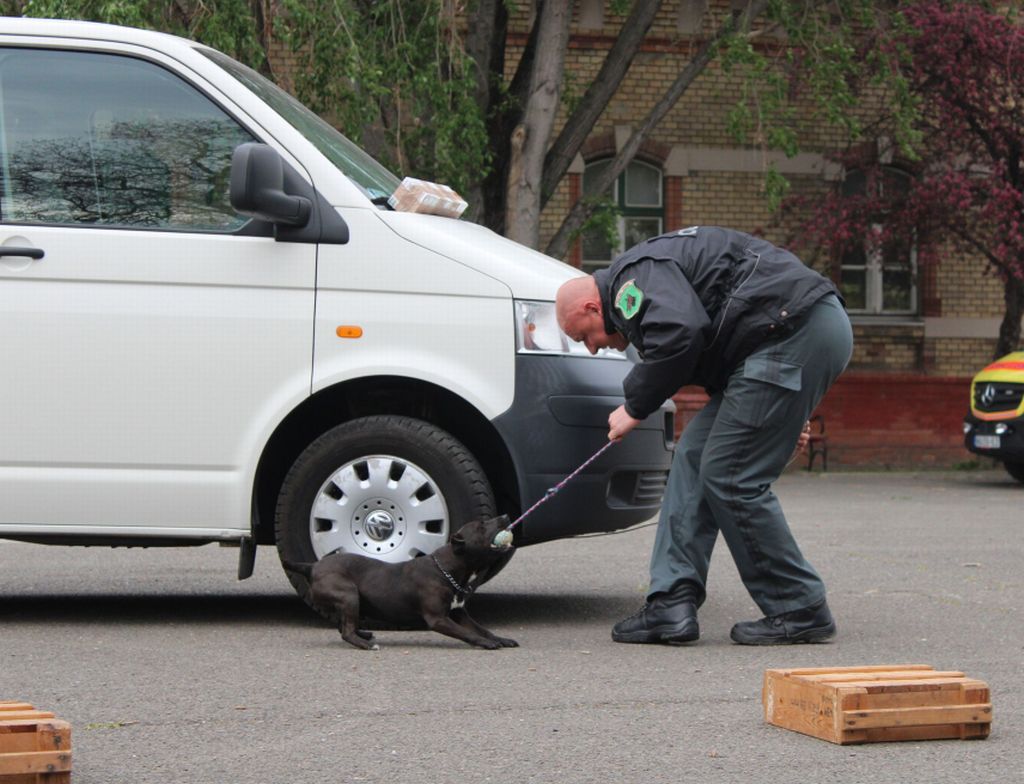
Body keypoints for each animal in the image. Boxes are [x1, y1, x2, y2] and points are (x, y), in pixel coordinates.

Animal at [280, 515, 516, 650]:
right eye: (481, 526)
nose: (505, 515)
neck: (446, 570)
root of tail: (311, 567)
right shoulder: (438, 619)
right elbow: (468, 633)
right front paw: (486, 643)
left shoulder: (459, 613)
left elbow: (481, 628)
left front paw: (501, 638)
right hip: (348, 594)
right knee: (345, 631)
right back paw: (366, 644)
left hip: (349, 600)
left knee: (344, 626)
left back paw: (364, 634)